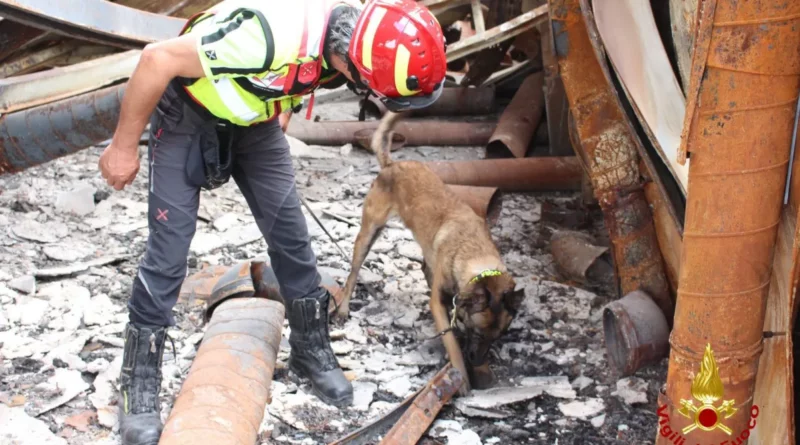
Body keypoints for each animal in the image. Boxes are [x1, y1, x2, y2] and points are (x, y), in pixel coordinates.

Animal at [336, 110, 524, 392]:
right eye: (477, 332)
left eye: (497, 337)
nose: (477, 359)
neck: (474, 254)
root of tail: (392, 165)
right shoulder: (439, 304)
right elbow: (452, 344)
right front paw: (462, 376)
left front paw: (483, 372)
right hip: (368, 233)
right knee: (352, 274)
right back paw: (343, 308)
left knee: (424, 266)